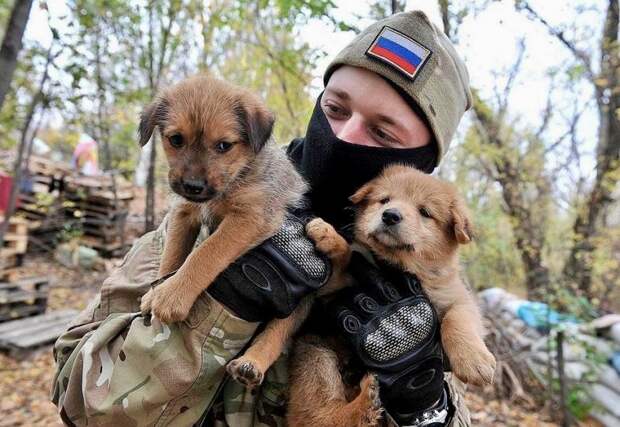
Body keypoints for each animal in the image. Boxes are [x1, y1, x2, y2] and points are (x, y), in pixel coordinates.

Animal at [138, 76, 308, 328]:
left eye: (224, 145)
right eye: (176, 139)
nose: (193, 186)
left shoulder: (250, 217)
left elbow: (206, 252)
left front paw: (173, 294)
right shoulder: (183, 212)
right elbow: (172, 254)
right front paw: (155, 292)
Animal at [284, 166, 494, 427]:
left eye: (425, 212)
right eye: (384, 200)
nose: (390, 215)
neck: (396, 266)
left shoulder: (458, 297)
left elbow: (457, 320)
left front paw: (475, 361)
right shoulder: (335, 287)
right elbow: (347, 257)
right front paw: (330, 237)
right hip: (316, 354)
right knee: (315, 415)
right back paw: (362, 407)